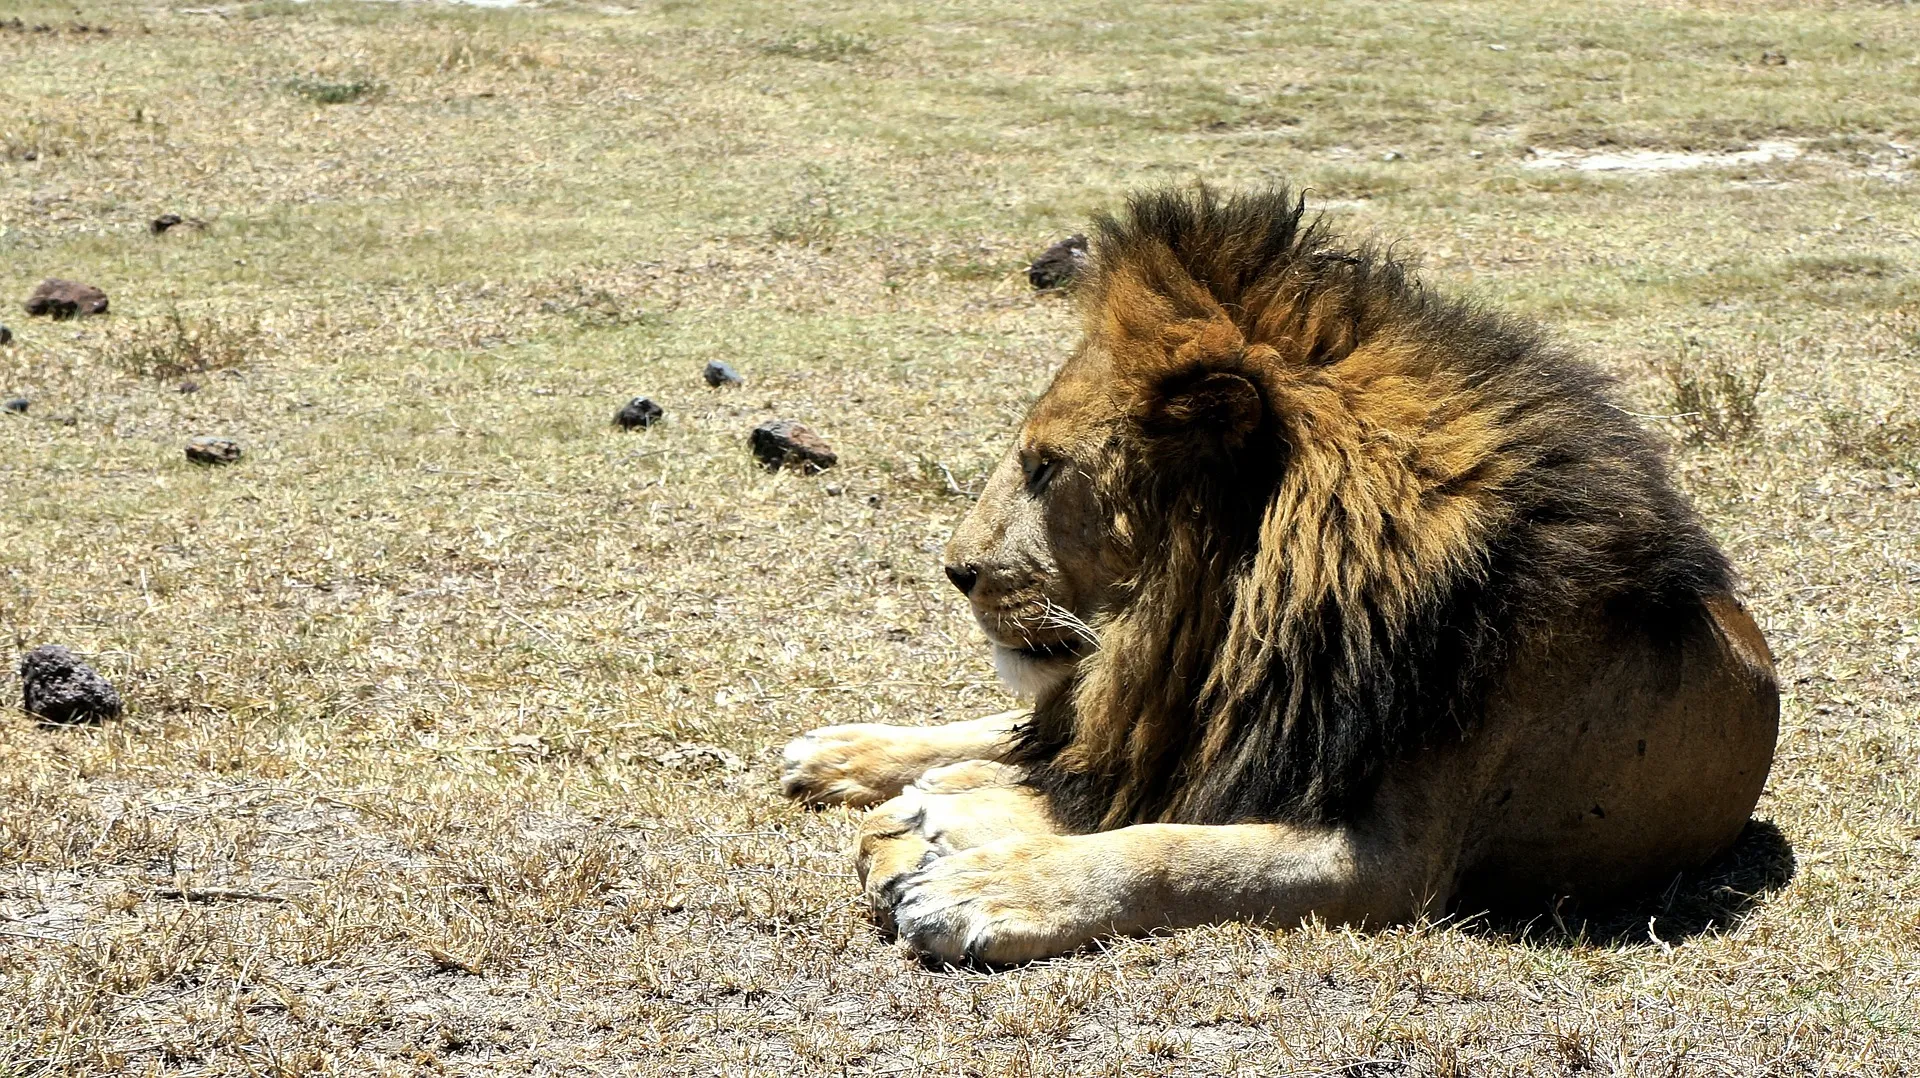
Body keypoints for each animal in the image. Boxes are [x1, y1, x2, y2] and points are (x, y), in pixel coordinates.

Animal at [771, 187, 1774, 968]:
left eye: (1047, 469)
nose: (956, 571)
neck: (1248, 615)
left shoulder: (1395, 862)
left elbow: (1174, 850)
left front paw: (989, 893)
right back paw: (846, 757)